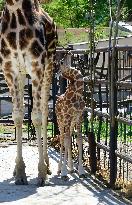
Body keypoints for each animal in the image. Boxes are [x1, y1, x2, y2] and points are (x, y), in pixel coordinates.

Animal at [0, 0, 57, 186]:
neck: (14, 9)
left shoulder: (37, 66)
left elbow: (36, 116)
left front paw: (41, 173)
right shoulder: (9, 70)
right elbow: (18, 115)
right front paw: (19, 172)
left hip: (49, 65)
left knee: (45, 110)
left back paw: (47, 164)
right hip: (22, 74)